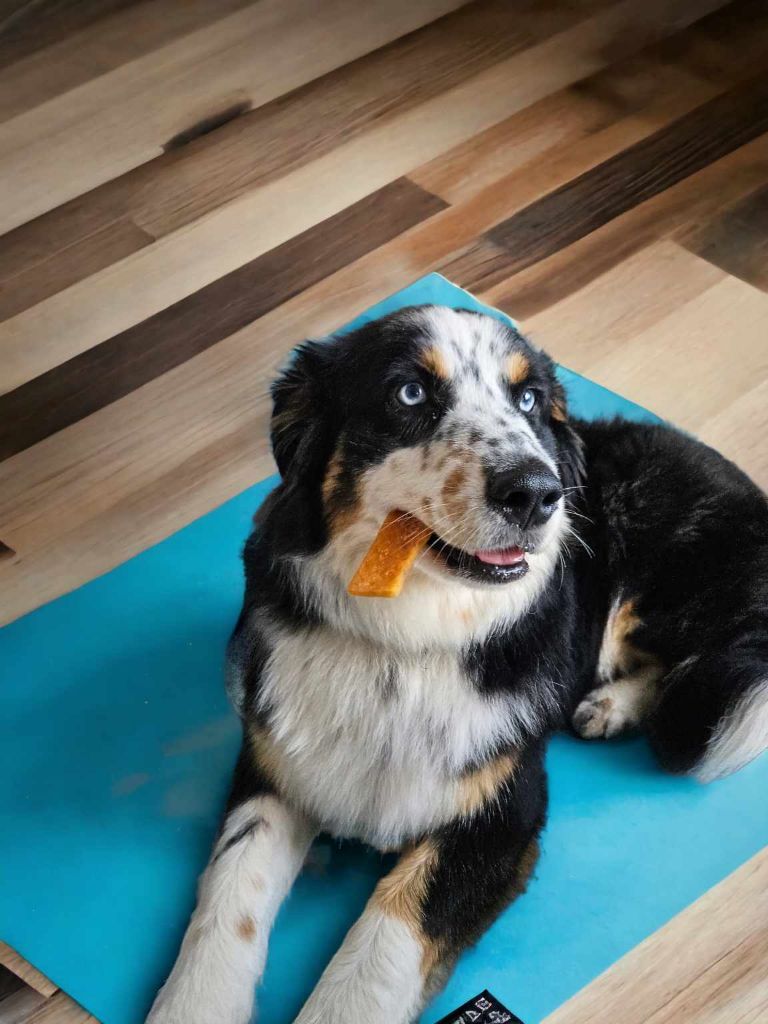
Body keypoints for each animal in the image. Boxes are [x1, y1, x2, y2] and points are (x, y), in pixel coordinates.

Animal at [145, 305, 768, 1024]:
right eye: (410, 393)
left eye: (528, 400)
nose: (536, 493)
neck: (405, 644)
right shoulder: (274, 766)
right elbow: (228, 891)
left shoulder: (503, 817)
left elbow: (381, 943)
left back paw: (613, 703)